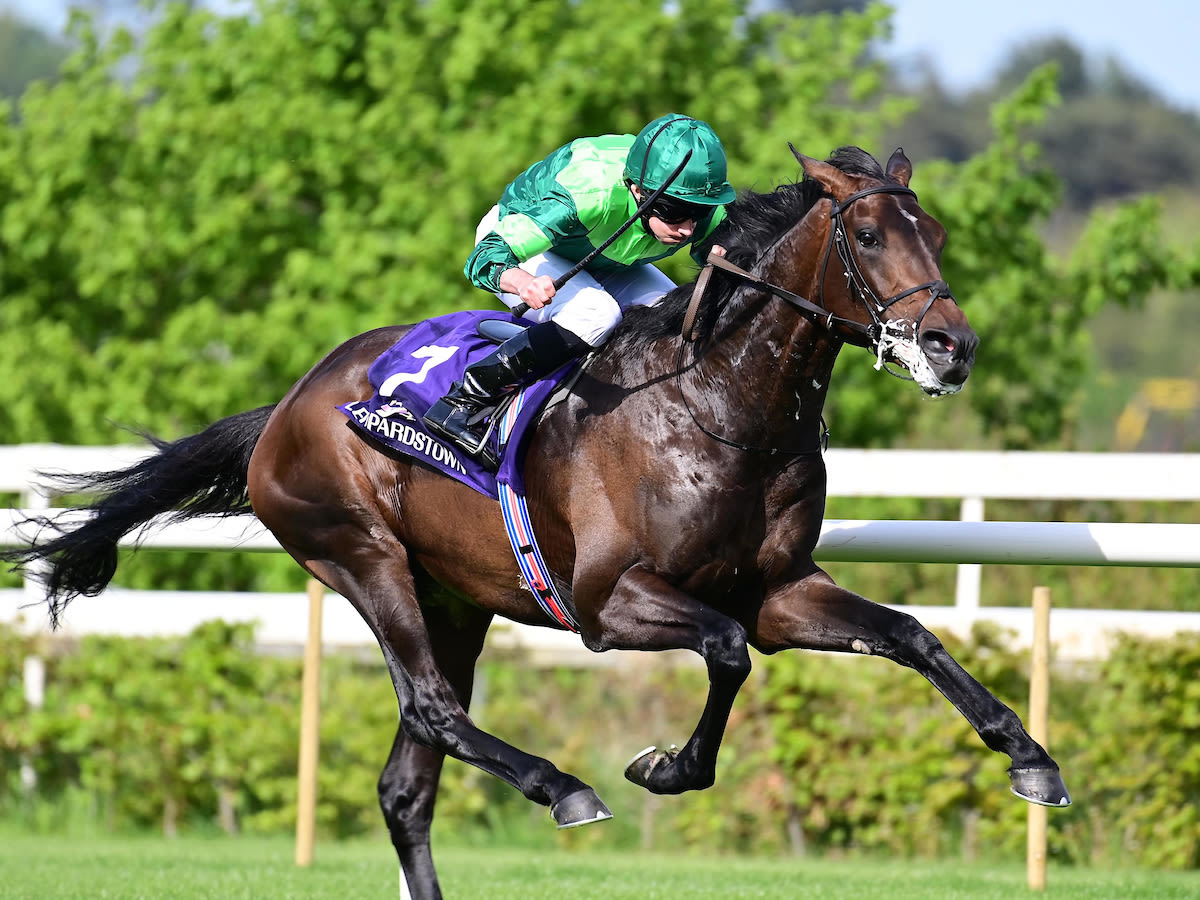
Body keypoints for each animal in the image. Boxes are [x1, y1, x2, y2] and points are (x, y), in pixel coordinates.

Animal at [5, 145, 1069, 899]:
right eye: (874, 236)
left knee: (408, 780)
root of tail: (285, 408)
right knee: (435, 709)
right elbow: (726, 655)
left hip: (453, 599)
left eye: (936, 233)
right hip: (360, 556)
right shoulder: (609, 603)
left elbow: (910, 635)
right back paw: (564, 786)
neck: (720, 407)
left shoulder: (777, 591)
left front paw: (1031, 758)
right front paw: (664, 766)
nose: (953, 345)